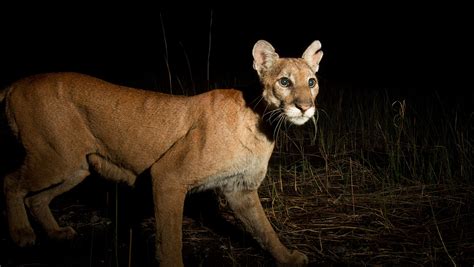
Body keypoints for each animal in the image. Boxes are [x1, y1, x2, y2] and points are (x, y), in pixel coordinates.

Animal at [0, 39, 322, 266]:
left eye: (312, 82)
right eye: (284, 82)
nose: (305, 107)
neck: (262, 123)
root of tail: (14, 84)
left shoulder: (239, 188)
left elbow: (265, 230)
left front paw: (287, 258)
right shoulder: (168, 176)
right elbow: (170, 239)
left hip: (75, 166)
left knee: (36, 198)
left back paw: (55, 233)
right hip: (56, 158)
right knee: (10, 182)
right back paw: (22, 234)